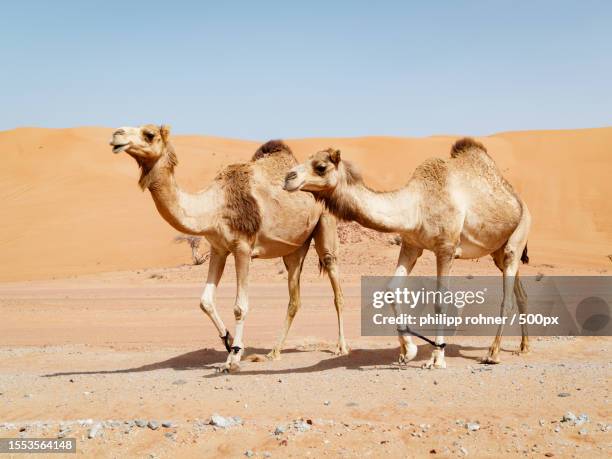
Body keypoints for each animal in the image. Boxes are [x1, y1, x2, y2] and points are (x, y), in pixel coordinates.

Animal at [110, 125, 350, 374]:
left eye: (149, 134)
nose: (117, 134)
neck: (214, 206)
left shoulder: (242, 248)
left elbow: (240, 307)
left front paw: (232, 359)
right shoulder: (218, 248)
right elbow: (205, 301)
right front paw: (229, 341)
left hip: (326, 222)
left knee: (335, 283)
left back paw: (341, 347)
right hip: (294, 248)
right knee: (294, 298)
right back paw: (274, 351)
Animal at [286, 138, 532, 368]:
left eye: (320, 166)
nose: (288, 177)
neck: (417, 206)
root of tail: (519, 200)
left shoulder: (446, 248)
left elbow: (440, 300)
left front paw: (436, 358)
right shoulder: (411, 245)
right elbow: (391, 289)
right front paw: (408, 351)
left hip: (518, 234)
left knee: (507, 296)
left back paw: (493, 354)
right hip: (498, 250)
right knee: (520, 292)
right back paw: (524, 347)